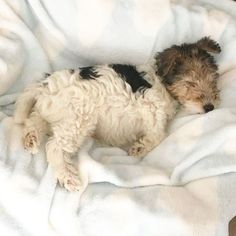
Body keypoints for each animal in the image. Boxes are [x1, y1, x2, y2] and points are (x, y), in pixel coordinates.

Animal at [14, 37, 221, 192]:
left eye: (213, 80)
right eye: (191, 83)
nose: (210, 107)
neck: (162, 83)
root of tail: (44, 85)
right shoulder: (152, 112)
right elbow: (158, 135)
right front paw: (139, 148)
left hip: (52, 113)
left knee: (33, 120)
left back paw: (30, 139)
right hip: (77, 121)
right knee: (54, 147)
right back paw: (69, 178)